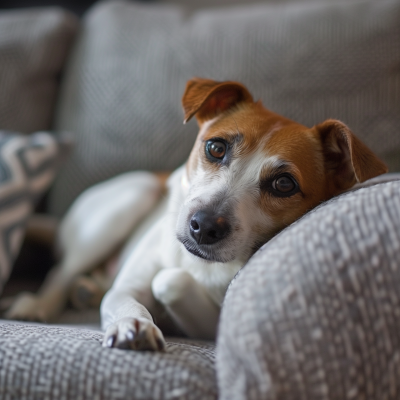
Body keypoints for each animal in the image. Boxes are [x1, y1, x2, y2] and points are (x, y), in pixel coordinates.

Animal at [3, 77, 388, 350]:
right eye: (216, 147)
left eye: (283, 184)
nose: (203, 227)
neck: (199, 263)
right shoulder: (126, 288)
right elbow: (129, 298)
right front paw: (135, 324)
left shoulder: (209, 324)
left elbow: (169, 280)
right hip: (132, 196)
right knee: (62, 271)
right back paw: (37, 304)